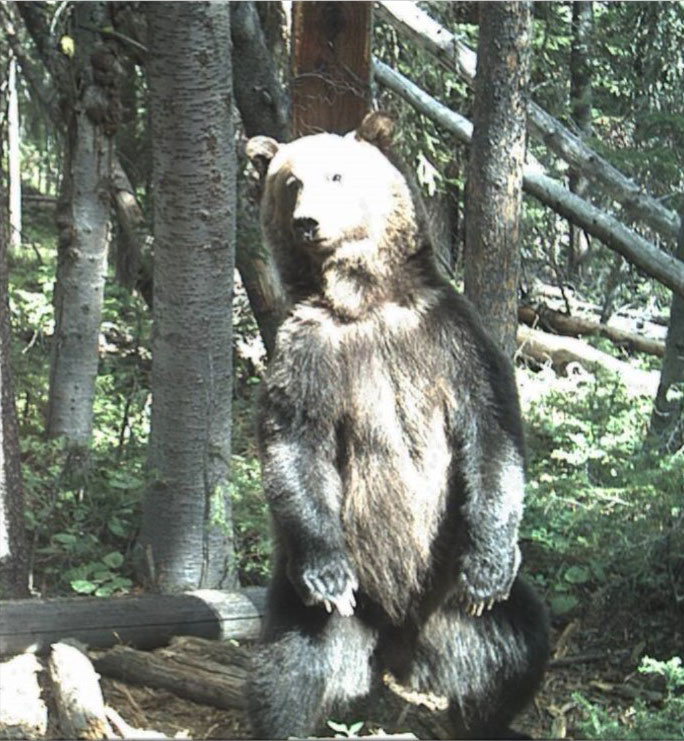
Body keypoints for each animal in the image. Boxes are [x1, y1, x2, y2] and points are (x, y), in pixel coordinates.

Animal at [243, 112, 548, 736]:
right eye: (290, 182)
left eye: (336, 174)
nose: (309, 221)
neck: (365, 299)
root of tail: (399, 643)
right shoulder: (309, 352)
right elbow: (296, 446)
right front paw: (327, 573)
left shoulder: (450, 339)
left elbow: (492, 432)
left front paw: (489, 566)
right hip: (318, 603)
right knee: (288, 666)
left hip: (450, 592)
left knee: (517, 644)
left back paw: (490, 714)